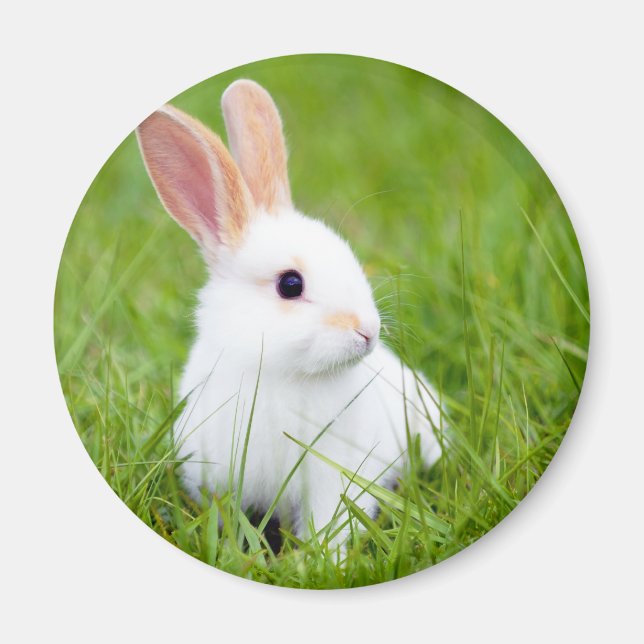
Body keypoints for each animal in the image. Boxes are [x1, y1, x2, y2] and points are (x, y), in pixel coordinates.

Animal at [136, 79, 442, 549]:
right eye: (290, 285)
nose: (367, 332)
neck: (280, 373)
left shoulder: (333, 476)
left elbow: (330, 521)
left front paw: (325, 557)